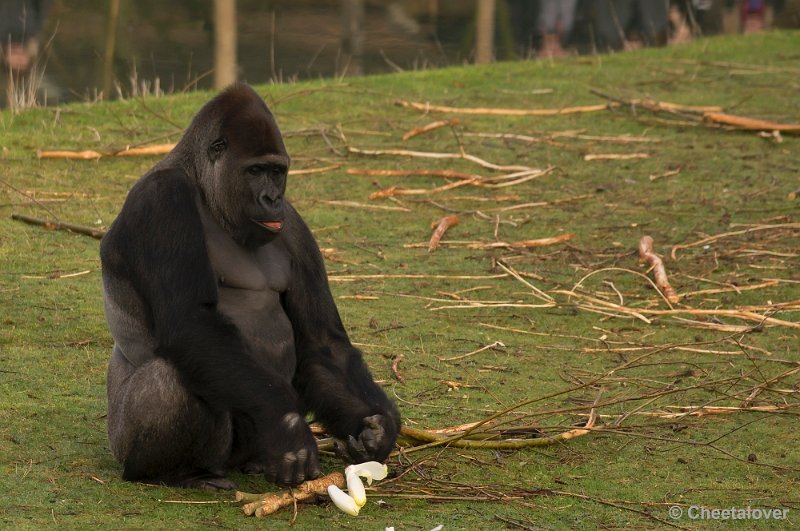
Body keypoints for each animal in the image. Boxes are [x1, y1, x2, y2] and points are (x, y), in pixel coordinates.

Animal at [100, 84, 400, 490]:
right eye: (255, 171)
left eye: (277, 172)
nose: (271, 199)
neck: (203, 185)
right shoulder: (163, 200)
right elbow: (192, 324)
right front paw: (290, 429)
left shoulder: (293, 224)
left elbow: (322, 341)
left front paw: (379, 428)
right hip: (125, 444)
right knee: (172, 379)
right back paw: (175, 472)